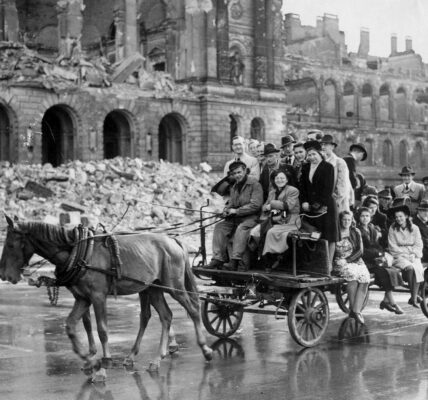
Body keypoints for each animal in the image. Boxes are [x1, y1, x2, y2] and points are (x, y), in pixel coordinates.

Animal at [0, 216, 213, 376]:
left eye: (10, 244)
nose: (5, 275)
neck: (77, 252)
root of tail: (172, 240)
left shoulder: (98, 296)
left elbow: (102, 329)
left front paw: (104, 364)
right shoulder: (83, 298)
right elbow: (71, 326)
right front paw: (89, 360)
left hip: (173, 286)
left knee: (193, 309)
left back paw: (205, 349)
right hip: (152, 289)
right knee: (165, 316)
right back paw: (154, 358)